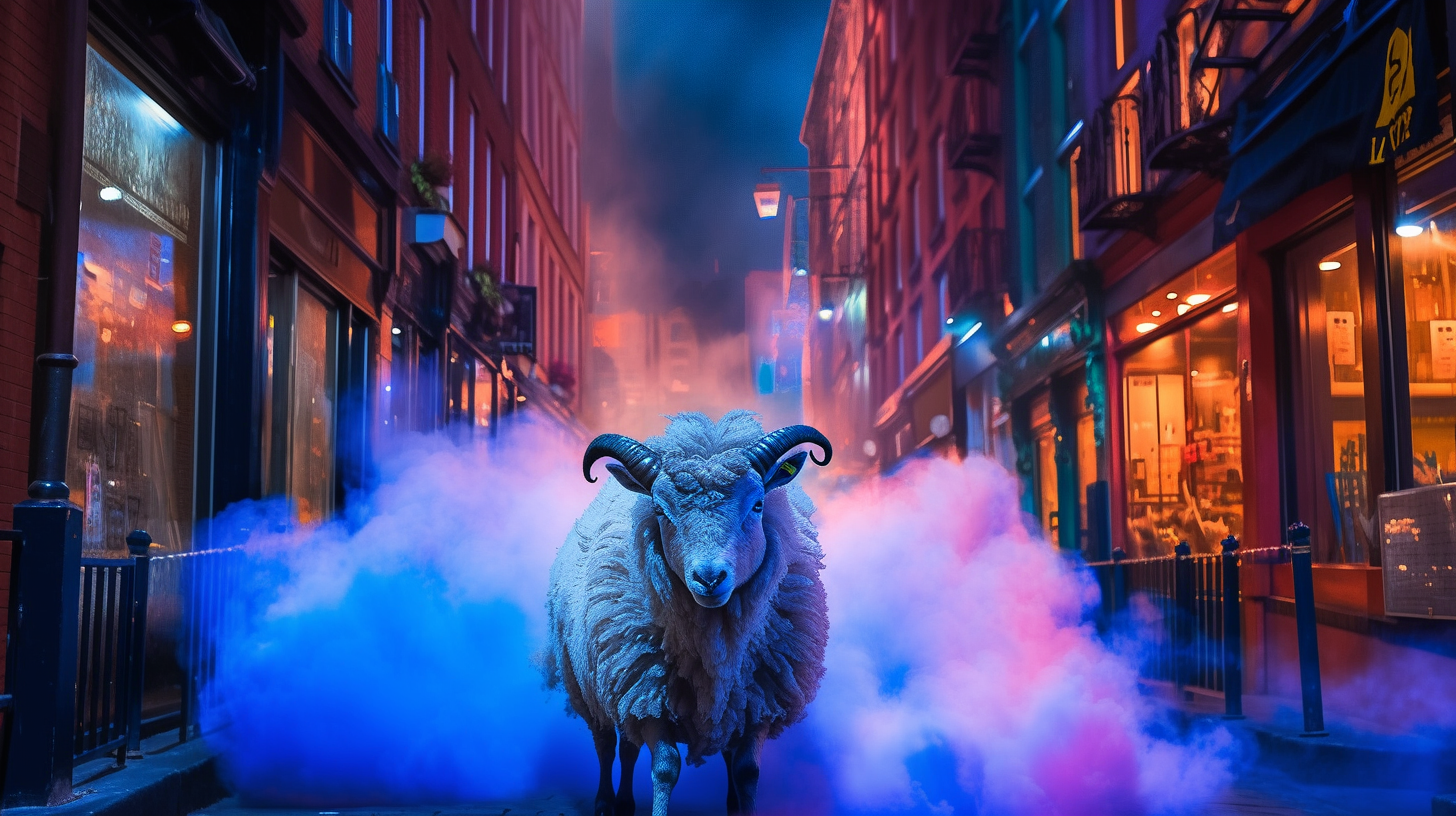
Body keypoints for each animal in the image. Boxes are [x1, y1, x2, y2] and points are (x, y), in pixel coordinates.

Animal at [544, 410, 832, 816]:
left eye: (758, 504)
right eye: (659, 510)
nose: (709, 578)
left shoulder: (758, 701)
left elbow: (747, 771)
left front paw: (741, 803)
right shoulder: (651, 697)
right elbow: (665, 768)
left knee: (631, 747)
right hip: (593, 681)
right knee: (606, 744)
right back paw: (605, 802)